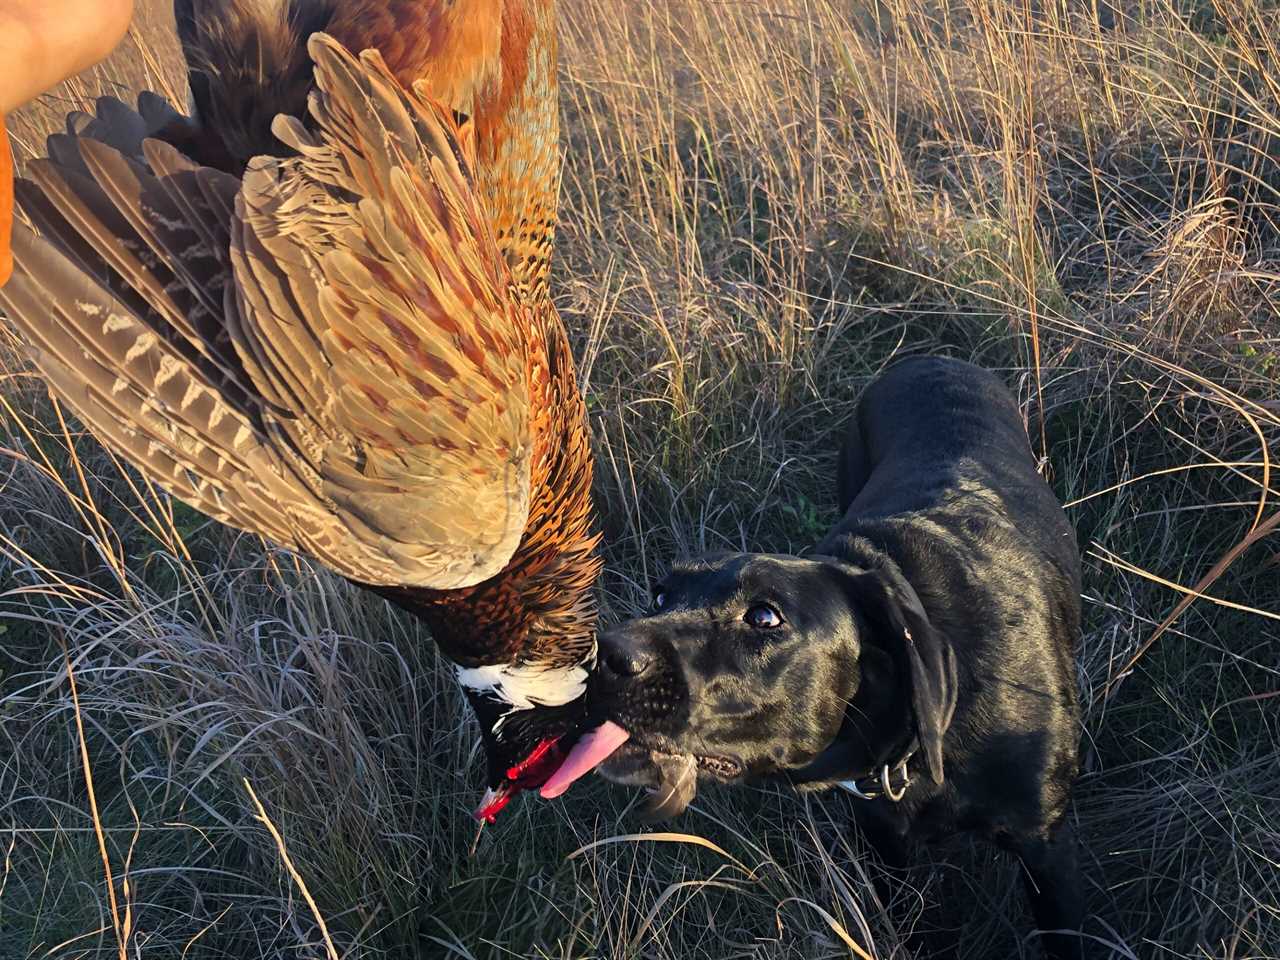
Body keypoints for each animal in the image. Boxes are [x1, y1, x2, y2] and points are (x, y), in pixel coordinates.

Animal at [593, 358, 1085, 957]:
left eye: (765, 617)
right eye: (661, 596)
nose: (604, 656)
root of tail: (928, 357)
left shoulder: (1047, 850)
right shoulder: (883, 839)